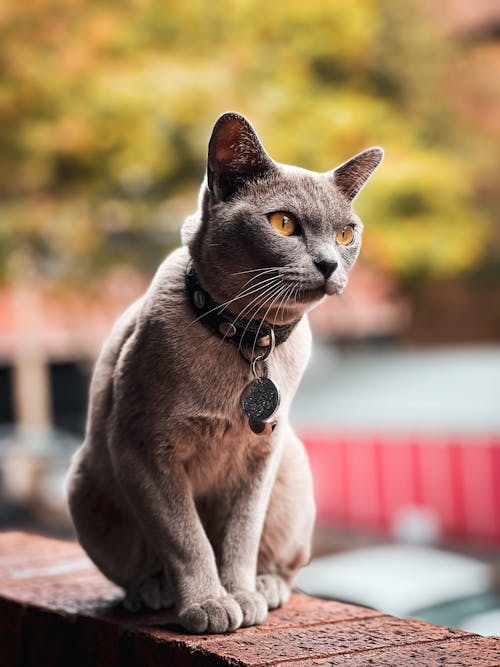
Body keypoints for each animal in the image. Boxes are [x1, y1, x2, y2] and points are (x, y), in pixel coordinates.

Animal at [64, 112, 380, 636]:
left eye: (345, 234)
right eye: (283, 223)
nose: (330, 263)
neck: (247, 337)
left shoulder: (260, 457)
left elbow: (239, 537)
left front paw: (241, 597)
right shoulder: (144, 450)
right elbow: (187, 539)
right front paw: (209, 606)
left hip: (293, 468)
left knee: (285, 566)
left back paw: (264, 590)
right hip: (86, 482)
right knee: (144, 566)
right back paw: (152, 593)